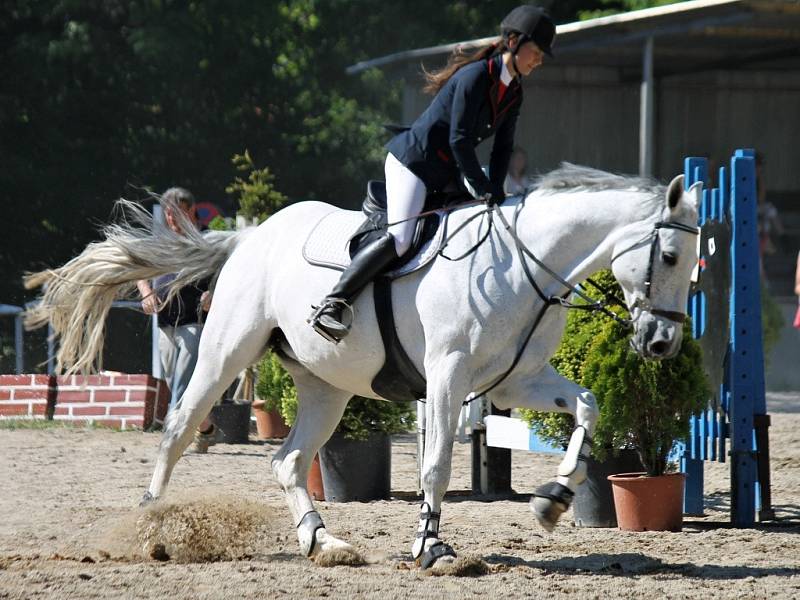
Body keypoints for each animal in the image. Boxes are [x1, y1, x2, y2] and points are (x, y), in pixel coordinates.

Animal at [25, 164, 700, 568]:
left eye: (698, 260)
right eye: (669, 255)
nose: (662, 343)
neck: (523, 263)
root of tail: (250, 237)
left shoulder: (517, 380)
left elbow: (587, 406)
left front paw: (555, 499)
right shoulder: (449, 376)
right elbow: (434, 465)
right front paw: (431, 546)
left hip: (325, 387)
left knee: (288, 460)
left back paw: (323, 540)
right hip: (223, 352)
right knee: (179, 429)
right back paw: (150, 528)